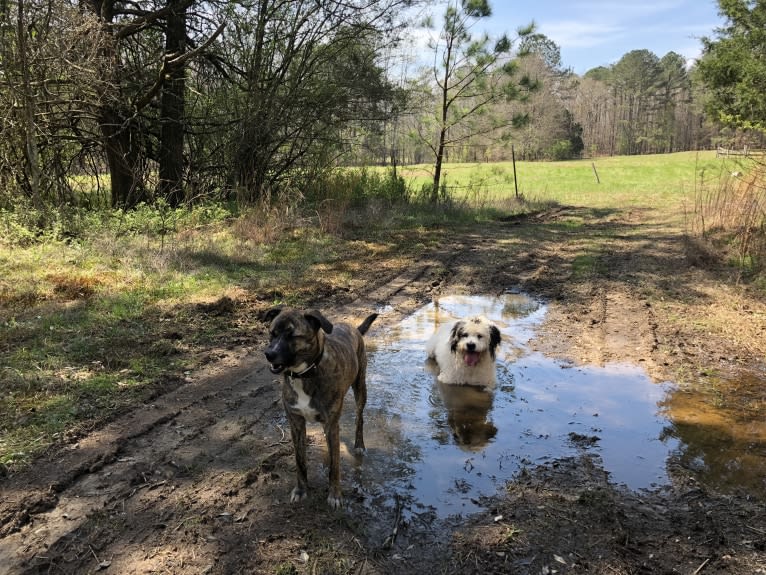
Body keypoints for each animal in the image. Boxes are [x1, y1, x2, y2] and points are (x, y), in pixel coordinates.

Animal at [264, 306, 378, 508]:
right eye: (272, 333)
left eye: (293, 335)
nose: (268, 354)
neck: (304, 374)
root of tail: (353, 327)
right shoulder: (296, 424)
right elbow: (300, 462)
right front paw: (301, 490)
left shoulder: (332, 424)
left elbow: (335, 466)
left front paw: (335, 494)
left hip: (360, 387)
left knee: (359, 418)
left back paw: (359, 444)